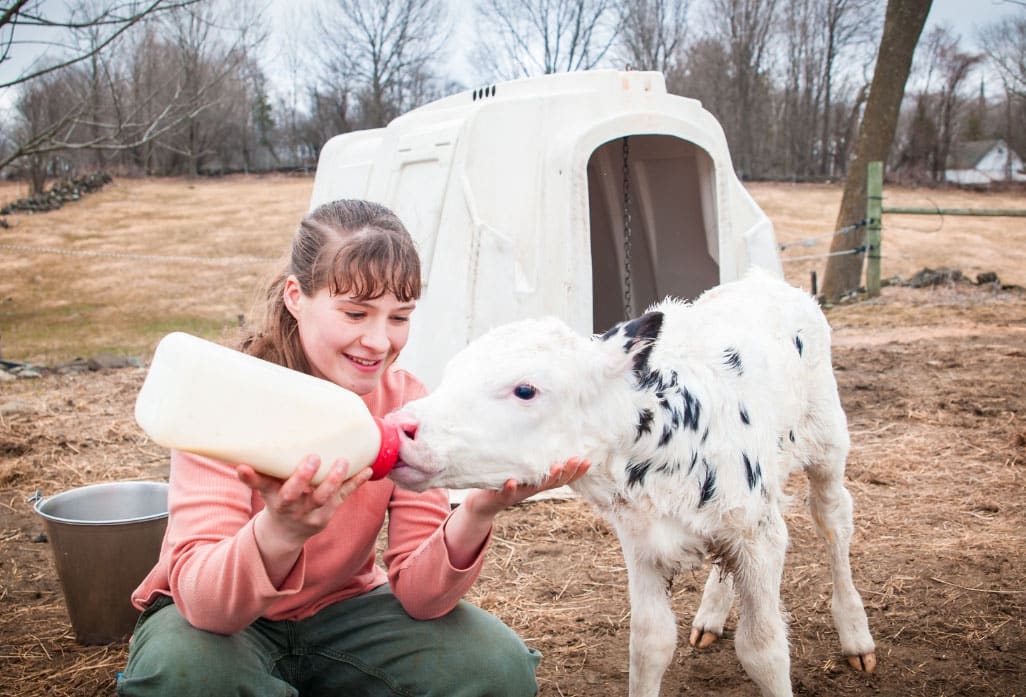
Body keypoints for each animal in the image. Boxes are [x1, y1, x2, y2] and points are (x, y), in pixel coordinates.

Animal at [387, 273, 878, 697]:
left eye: (525, 390)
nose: (399, 425)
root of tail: (764, 278)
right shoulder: (644, 544)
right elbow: (649, 644)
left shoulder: (761, 536)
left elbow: (763, 649)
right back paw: (710, 616)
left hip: (827, 441)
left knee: (834, 521)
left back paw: (856, 636)